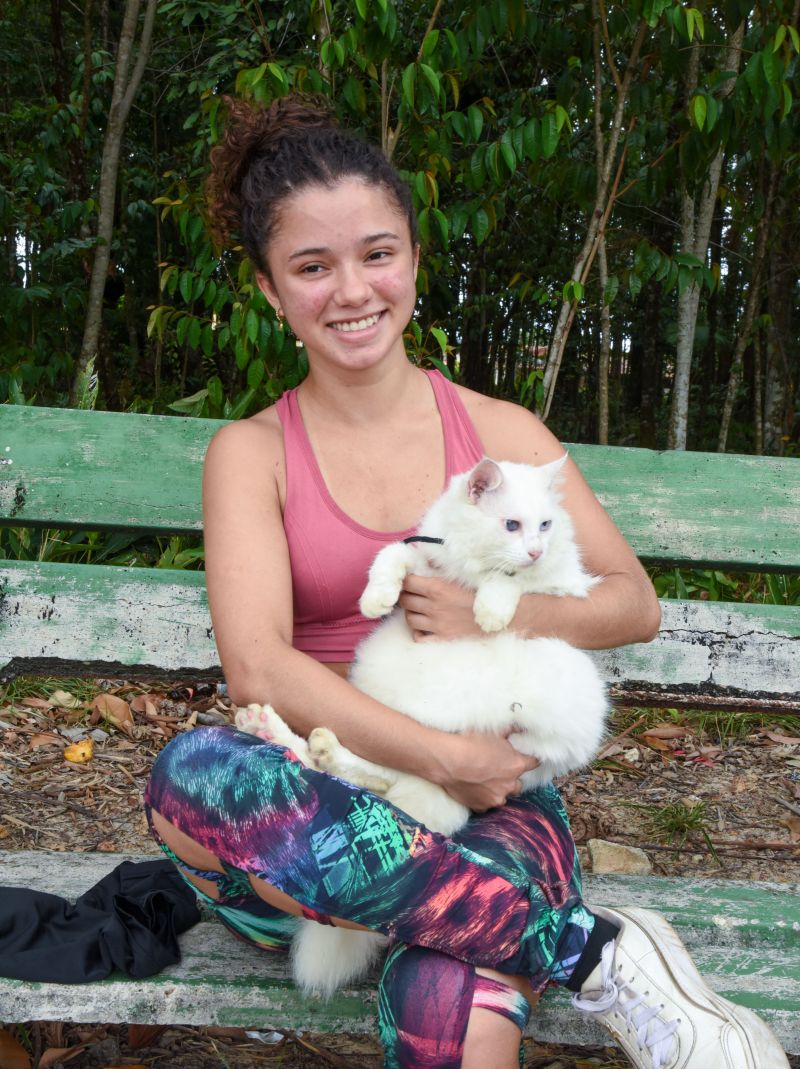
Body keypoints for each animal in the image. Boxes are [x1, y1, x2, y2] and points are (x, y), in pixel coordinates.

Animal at [234, 455, 607, 996]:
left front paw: (490, 611)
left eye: (545, 525)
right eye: (512, 525)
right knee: (355, 769)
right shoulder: (423, 562)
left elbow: (514, 582)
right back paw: (274, 730)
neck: (468, 563)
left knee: (375, 776)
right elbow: (390, 557)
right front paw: (374, 599)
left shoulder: (564, 585)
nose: (536, 548)